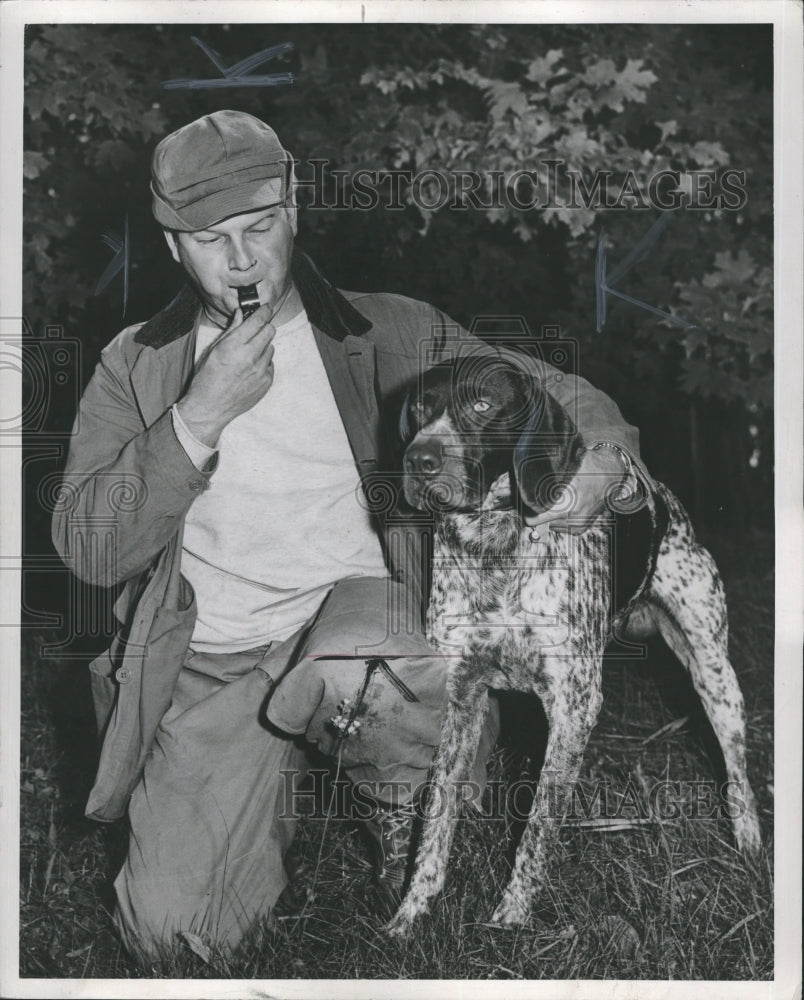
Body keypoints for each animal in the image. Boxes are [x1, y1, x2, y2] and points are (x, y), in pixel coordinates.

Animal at [386, 356, 764, 932]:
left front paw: (512, 917)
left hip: (713, 672)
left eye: (483, 405)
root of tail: (661, 495)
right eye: (422, 408)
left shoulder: (574, 703)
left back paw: (749, 843)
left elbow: (537, 827)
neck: (494, 545)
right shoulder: (458, 697)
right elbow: (436, 819)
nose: (418, 460)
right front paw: (411, 913)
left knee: (736, 767)